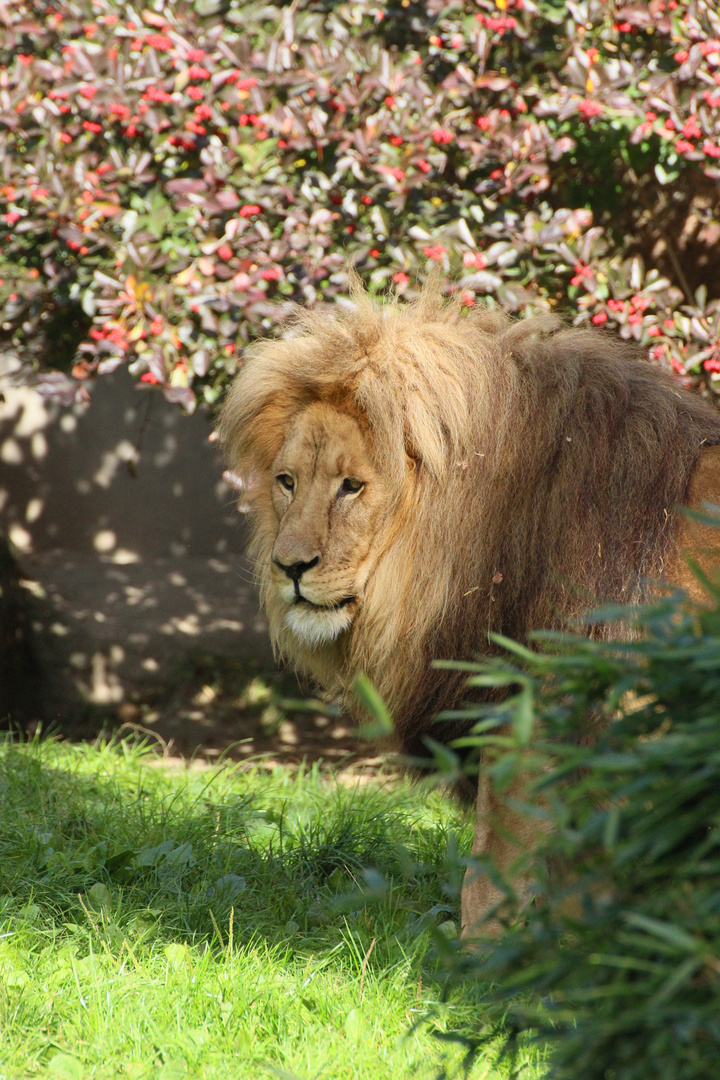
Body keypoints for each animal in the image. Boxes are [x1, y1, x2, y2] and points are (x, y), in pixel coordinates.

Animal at [220, 280, 720, 937]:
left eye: (351, 486)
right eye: (287, 482)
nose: (289, 567)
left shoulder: (541, 716)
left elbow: (491, 876)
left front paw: (482, 960)